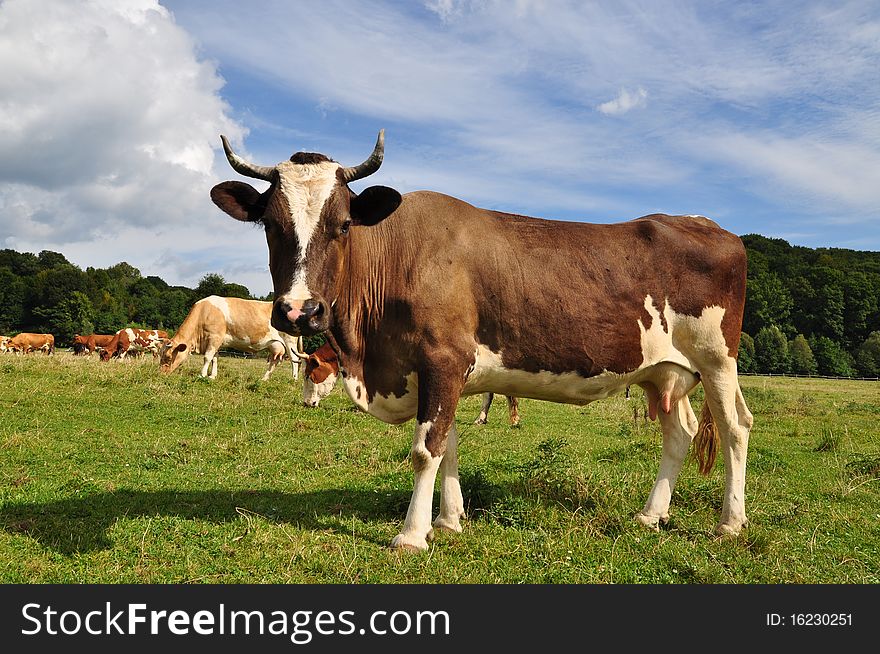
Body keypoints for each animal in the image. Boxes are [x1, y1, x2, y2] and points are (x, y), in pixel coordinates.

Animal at [158, 294, 306, 382]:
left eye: (168, 357)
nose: (161, 374)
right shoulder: (217, 341)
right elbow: (215, 358)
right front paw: (212, 376)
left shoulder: (214, 337)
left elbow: (207, 357)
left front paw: (202, 374)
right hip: (275, 345)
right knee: (275, 361)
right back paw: (264, 379)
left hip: (289, 341)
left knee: (294, 360)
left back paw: (293, 379)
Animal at [215, 131, 756, 552]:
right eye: (270, 224)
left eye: (343, 224)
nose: (298, 311)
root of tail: (708, 224)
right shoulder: (438, 369)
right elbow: (449, 445)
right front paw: (448, 520)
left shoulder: (442, 359)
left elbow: (425, 449)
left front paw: (411, 535)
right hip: (662, 371)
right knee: (679, 433)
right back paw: (651, 515)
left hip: (717, 359)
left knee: (735, 428)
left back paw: (729, 523)